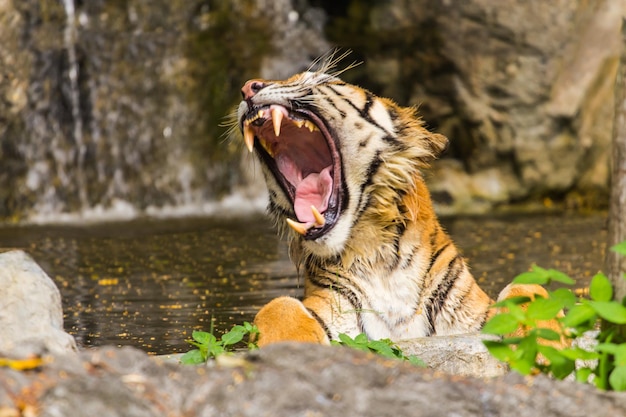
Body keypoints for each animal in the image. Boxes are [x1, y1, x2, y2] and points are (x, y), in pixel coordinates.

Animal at [235, 53, 556, 346]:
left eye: (318, 80)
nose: (248, 87)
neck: (376, 256)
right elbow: (278, 307)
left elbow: (529, 292)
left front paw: (542, 347)